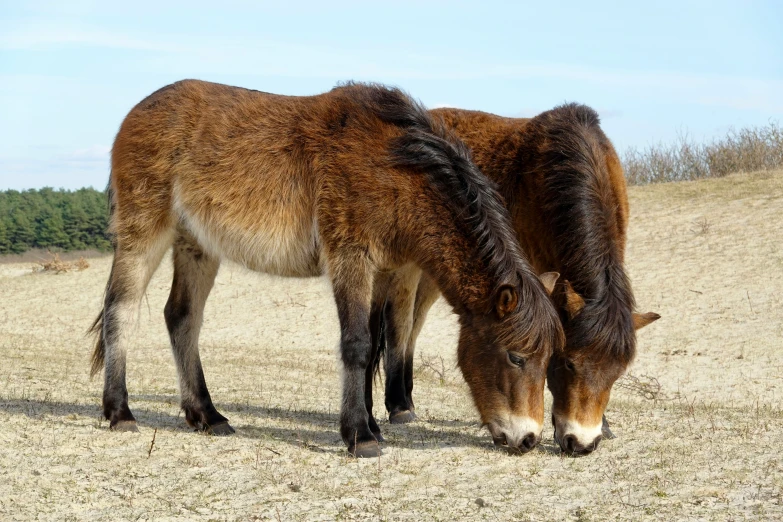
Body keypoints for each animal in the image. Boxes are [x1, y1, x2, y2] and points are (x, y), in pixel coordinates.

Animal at [89, 79, 564, 458]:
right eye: (516, 356)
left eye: (548, 361)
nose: (528, 439)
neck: (396, 169)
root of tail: (136, 113)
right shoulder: (351, 258)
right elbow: (356, 344)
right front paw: (360, 437)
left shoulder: (380, 271)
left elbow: (373, 342)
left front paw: (371, 425)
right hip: (145, 234)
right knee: (120, 311)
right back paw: (120, 412)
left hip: (197, 246)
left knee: (182, 319)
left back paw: (206, 415)